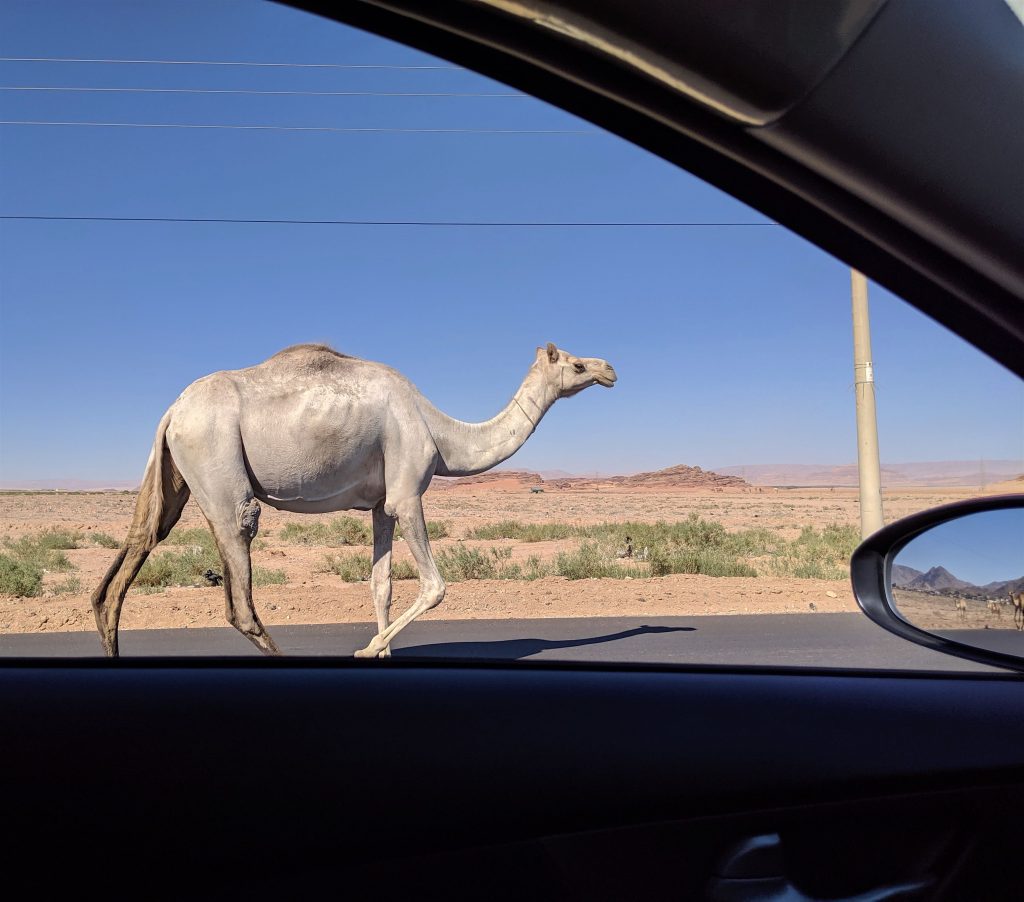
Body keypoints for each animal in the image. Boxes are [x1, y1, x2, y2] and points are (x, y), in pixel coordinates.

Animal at [91, 342, 617, 658]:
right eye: (575, 363)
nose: (610, 368)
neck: (442, 434)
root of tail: (173, 410)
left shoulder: (381, 504)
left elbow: (381, 585)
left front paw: (381, 650)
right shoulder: (407, 492)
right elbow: (434, 586)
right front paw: (367, 649)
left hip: (176, 472)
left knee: (137, 546)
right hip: (216, 459)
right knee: (240, 575)